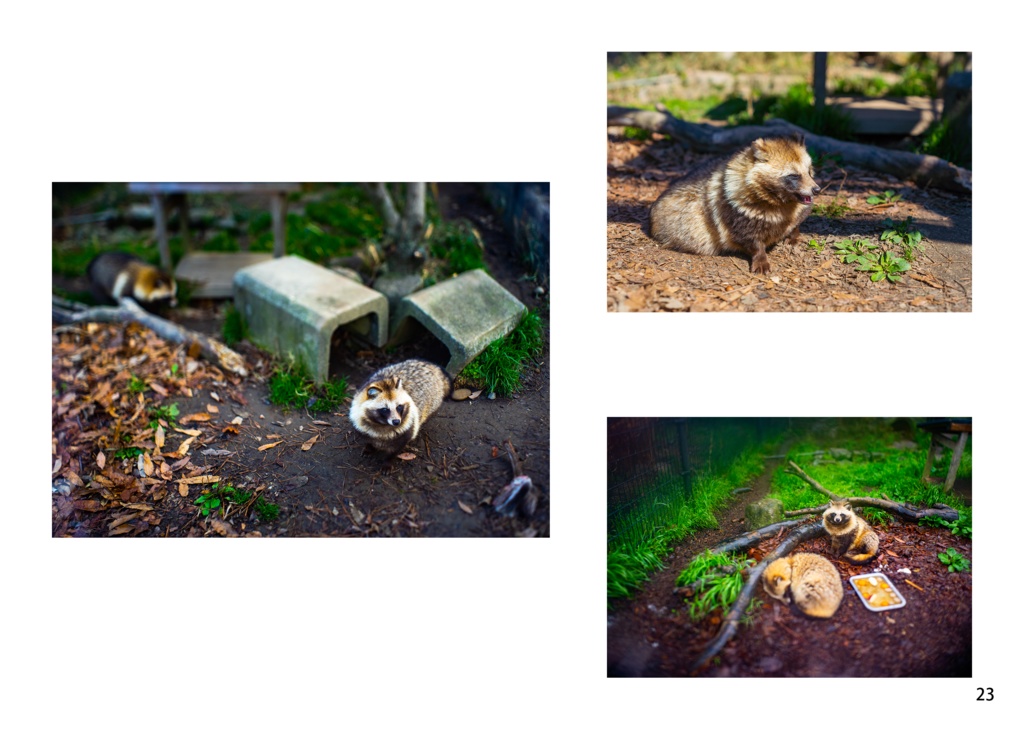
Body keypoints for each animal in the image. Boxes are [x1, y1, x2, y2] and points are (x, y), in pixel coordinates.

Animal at [648, 134, 820, 274]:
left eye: (809, 172)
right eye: (793, 176)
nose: (817, 189)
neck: (782, 201)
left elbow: (795, 223)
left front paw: (794, 233)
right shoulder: (734, 212)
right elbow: (751, 240)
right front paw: (760, 257)